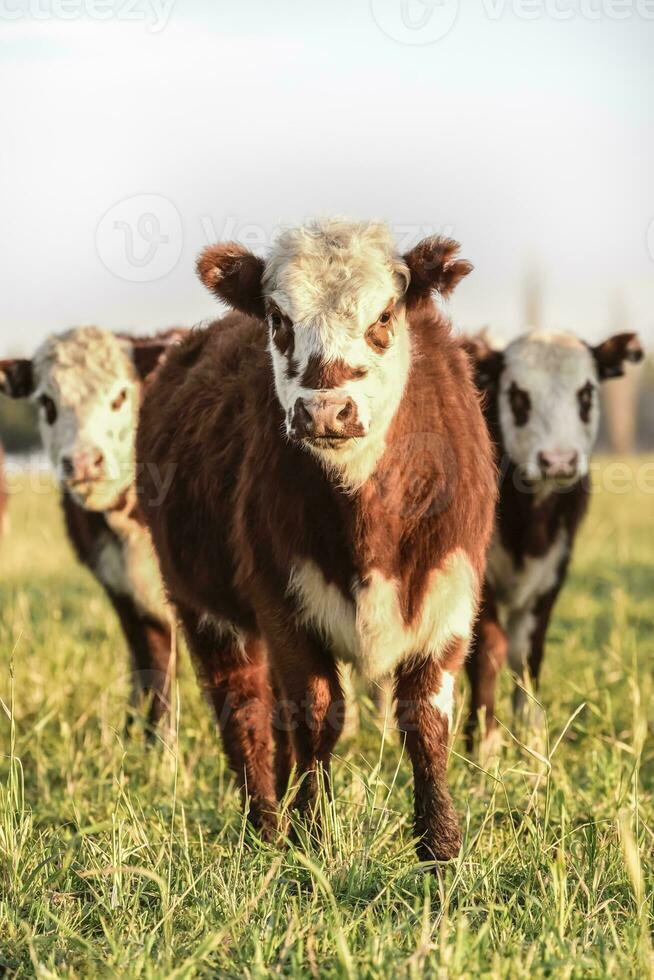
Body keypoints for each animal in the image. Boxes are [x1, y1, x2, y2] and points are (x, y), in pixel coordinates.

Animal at [137, 218, 498, 860]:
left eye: (385, 315)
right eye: (279, 319)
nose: (326, 411)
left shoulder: (450, 595)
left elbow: (426, 719)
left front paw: (441, 848)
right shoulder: (282, 602)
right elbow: (314, 713)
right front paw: (312, 836)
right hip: (204, 609)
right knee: (246, 711)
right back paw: (264, 829)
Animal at [466, 330, 644, 744]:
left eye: (587, 393)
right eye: (517, 394)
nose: (559, 461)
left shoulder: (552, 572)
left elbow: (527, 653)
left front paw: (531, 740)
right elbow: (488, 650)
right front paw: (482, 744)